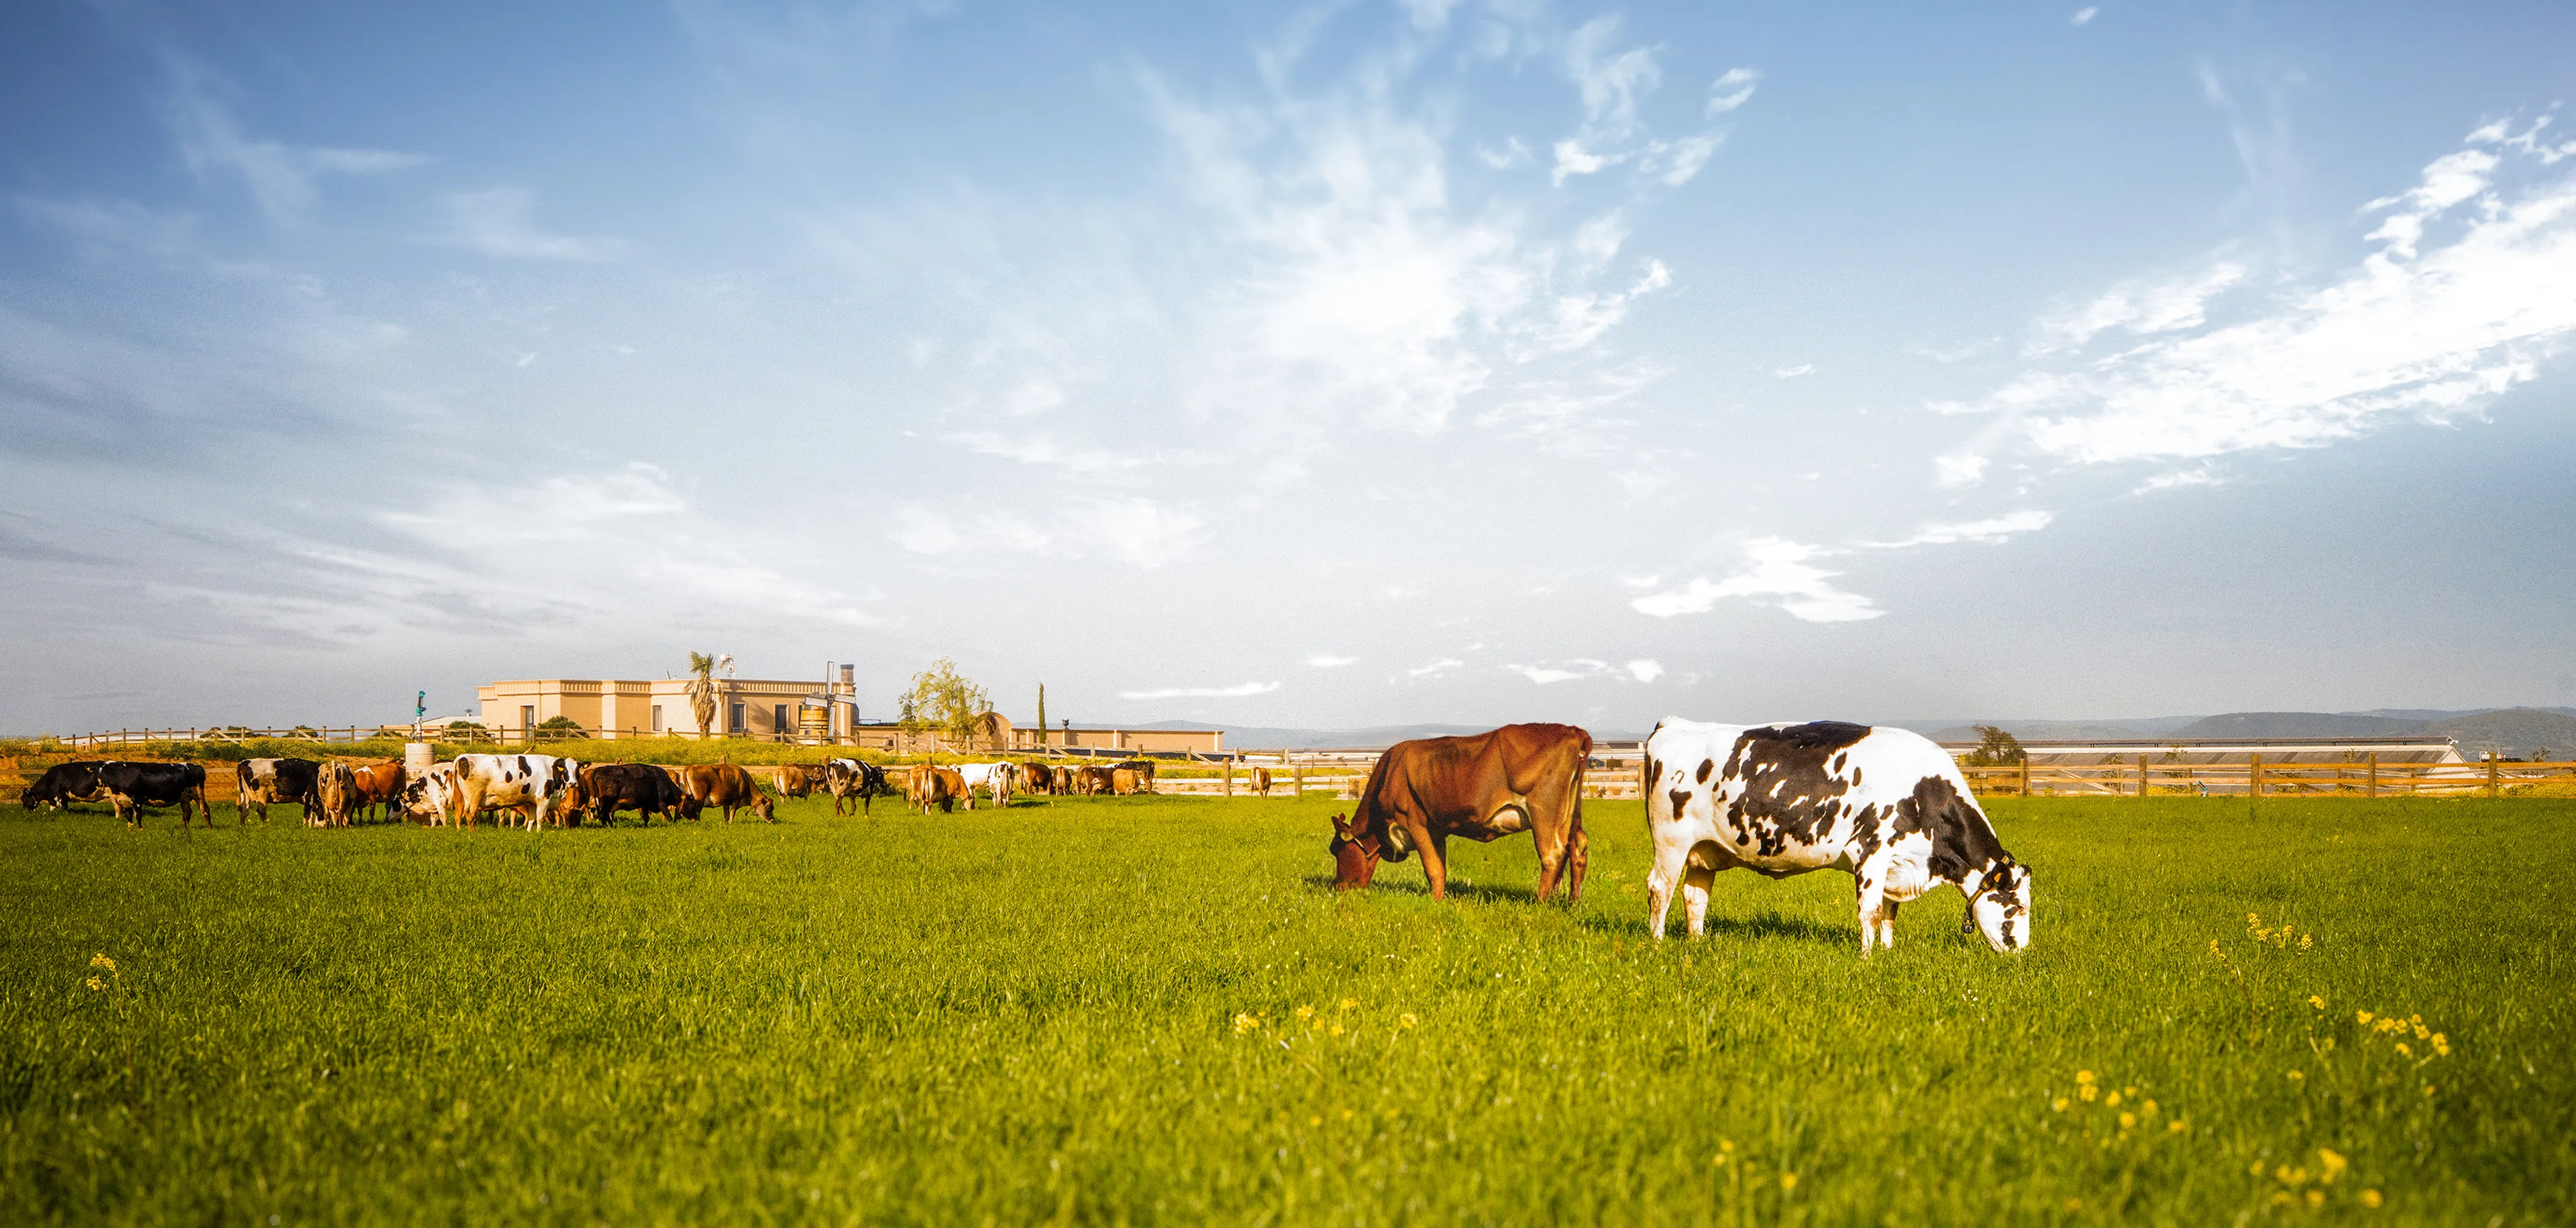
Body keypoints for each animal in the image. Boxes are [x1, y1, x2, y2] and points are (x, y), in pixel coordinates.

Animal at [95, 762, 209, 829]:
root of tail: (197, 766)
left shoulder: (137, 798)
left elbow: (138, 816)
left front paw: (140, 831)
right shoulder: (126, 801)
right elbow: (129, 817)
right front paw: (130, 830)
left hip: (198, 793)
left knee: (205, 809)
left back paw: (209, 828)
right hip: (184, 797)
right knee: (187, 812)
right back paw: (185, 829)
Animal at [675, 767, 773, 823]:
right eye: (769, 808)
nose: (772, 820)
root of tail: (689, 768)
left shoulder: (726, 801)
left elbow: (726, 814)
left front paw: (726, 824)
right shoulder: (736, 799)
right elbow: (732, 813)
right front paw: (731, 823)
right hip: (699, 799)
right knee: (697, 812)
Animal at [1329, 715, 1587, 901]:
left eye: (1337, 850)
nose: (1338, 887)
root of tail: (1573, 731)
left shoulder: (1415, 822)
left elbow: (1432, 868)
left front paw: (1434, 903)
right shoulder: (1436, 830)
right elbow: (1439, 868)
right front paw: (1439, 899)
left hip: (1544, 813)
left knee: (1552, 855)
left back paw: (1541, 902)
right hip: (1569, 815)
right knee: (1577, 847)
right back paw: (1572, 901)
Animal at [1648, 715, 2029, 958]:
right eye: (2019, 906)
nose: (2022, 954)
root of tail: (1675, 723)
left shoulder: (1896, 864)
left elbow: (1889, 913)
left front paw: (1887, 953)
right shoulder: (1871, 851)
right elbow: (1870, 912)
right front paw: (1867, 959)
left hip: (1704, 851)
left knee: (1694, 896)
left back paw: (1697, 944)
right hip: (1671, 843)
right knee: (1660, 889)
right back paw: (1657, 944)